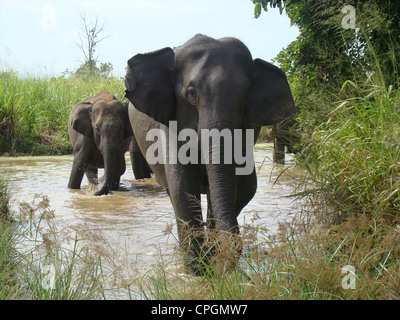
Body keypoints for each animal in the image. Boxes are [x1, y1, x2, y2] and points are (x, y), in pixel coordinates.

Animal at [125, 34, 296, 270]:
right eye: (191, 93)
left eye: (245, 96)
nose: (234, 247)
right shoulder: (169, 122)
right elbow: (182, 186)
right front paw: (197, 269)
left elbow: (231, 184)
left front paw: (212, 261)